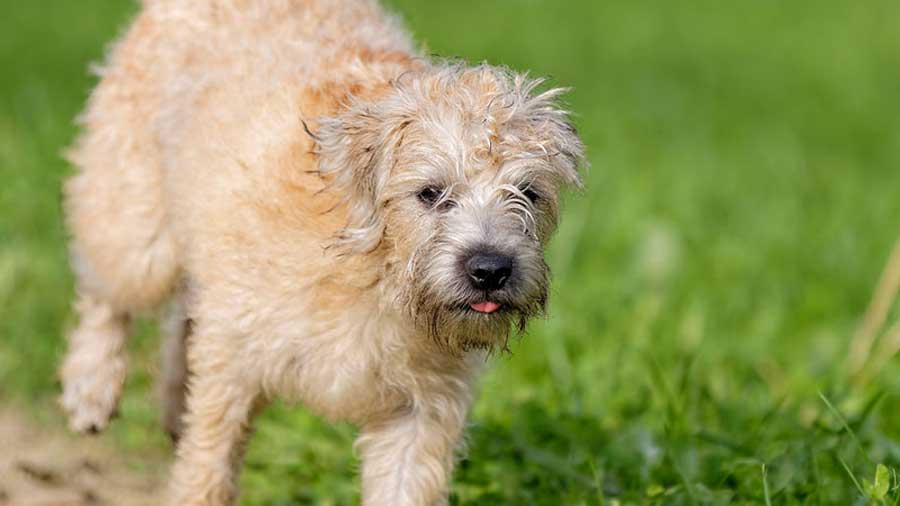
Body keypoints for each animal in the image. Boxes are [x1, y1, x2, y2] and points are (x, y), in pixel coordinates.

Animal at [59, 1, 588, 504]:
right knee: (107, 291)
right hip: (136, 226)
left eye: (528, 193)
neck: (374, 274)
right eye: (430, 193)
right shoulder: (233, 359)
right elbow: (207, 467)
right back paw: (91, 387)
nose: (491, 269)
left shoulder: (419, 414)